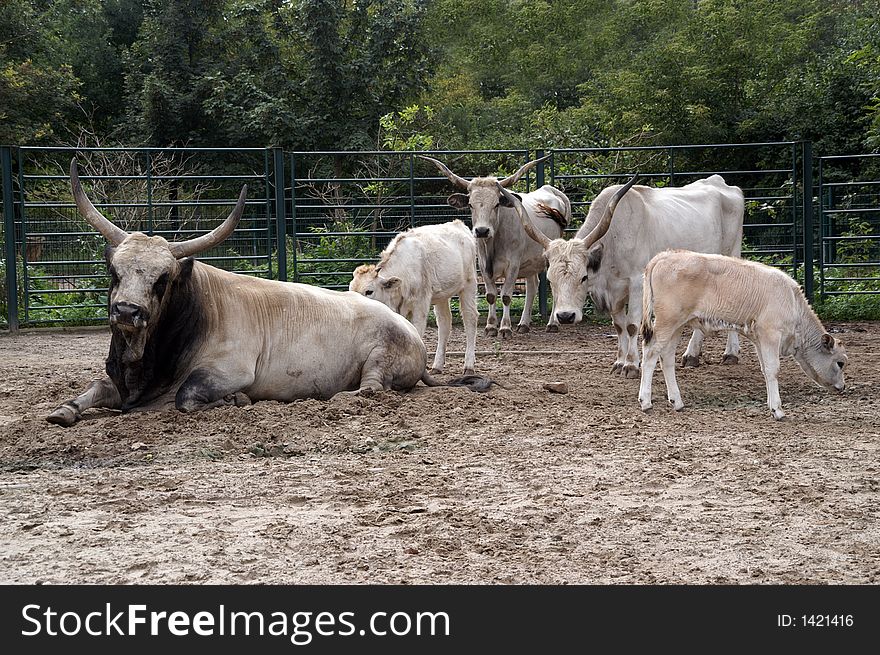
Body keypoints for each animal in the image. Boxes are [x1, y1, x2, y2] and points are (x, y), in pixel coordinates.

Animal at [348, 219, 478, 374]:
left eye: (369, 291)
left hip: (469, 286)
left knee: (470, 319)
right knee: (444, 323)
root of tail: (458, 224)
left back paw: (469, 366)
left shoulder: (420, 305)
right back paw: (437, 366)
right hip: (442, 296)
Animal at [420, 154, 572, 338]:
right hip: (531, 261)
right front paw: (491, 326)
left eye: (496, 204)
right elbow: (491, 295)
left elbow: (506, 296)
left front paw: (505, 328)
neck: (493, 243)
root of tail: (551, 190)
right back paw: (523, 324)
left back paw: (552, 323)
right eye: (470, 205)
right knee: (532, 286)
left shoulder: (513, 265)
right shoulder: (483, 265)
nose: (482, 230)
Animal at [520, 174, 744, 380]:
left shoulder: (637, 283)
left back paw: (729, 353)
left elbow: (632, 325)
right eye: (551, 280)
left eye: (583, 277)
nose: (565, 316)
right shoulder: (613, 291)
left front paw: (631, 365)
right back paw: (692, 355)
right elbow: (619, 326)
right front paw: (620, 362)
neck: (613, 240)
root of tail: (720, 182)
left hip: (731, 258)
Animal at [636, 251, 848, 420]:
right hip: (667, 322)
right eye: (840, 363)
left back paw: (677, 401)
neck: (793, 302)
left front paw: (771, 406)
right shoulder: (771, 334)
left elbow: (765, 370)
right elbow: (773, 369)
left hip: (677, 326)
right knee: (650, 352)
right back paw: (646, 401)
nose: (843, 387)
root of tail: (664, 256)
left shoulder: (759, 339)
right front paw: (778, 410)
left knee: (666, 357)